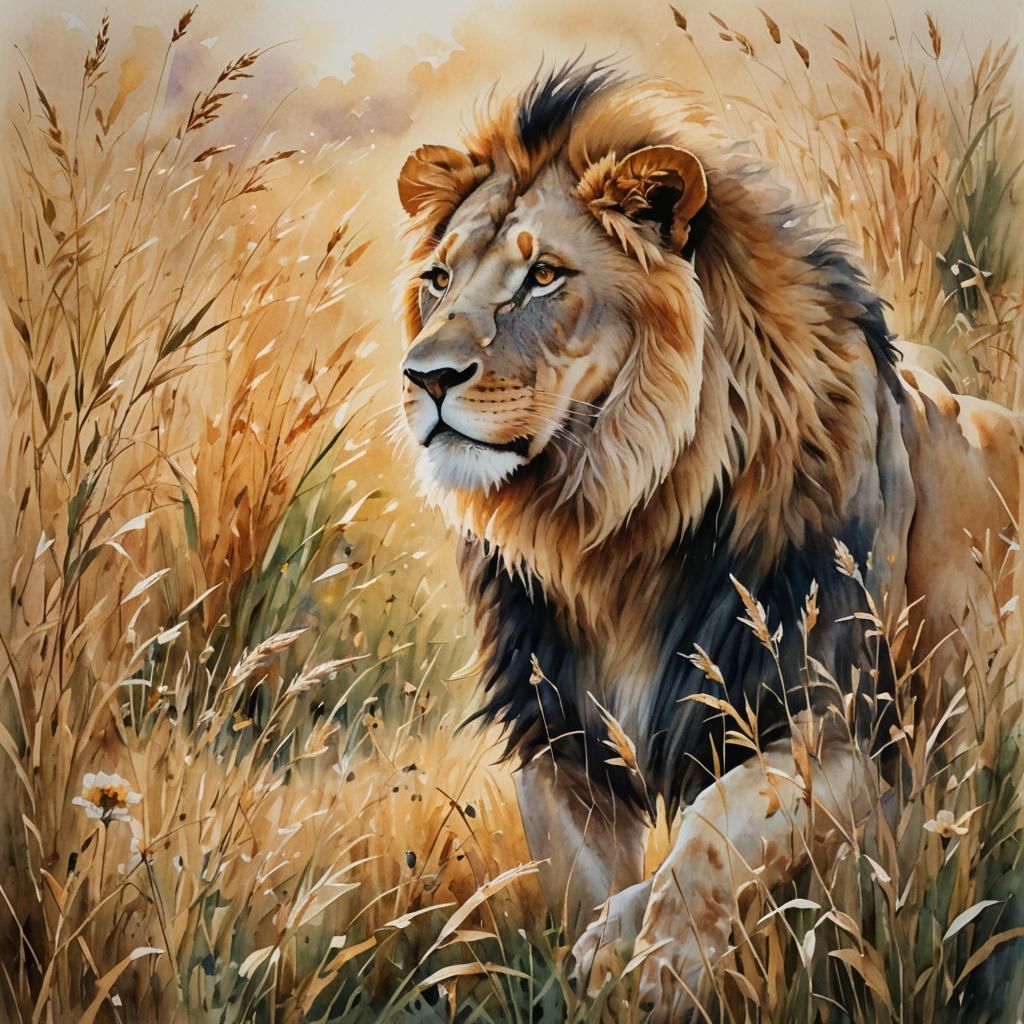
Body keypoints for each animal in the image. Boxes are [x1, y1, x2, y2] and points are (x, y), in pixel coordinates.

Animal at [394, 62, 1022, 1018]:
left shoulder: (860, 734)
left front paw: (656, 961)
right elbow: (587, 882)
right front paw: (600, 963)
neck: (613, 525)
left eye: (543, 275)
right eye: (438, 278)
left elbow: (713, 822)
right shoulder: (560, 743)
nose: (425, 377)